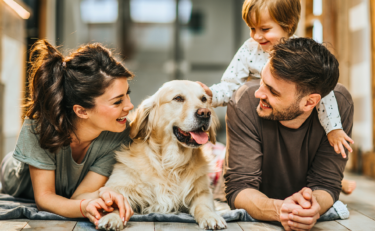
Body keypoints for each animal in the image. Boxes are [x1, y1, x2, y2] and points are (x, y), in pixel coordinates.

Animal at [97, 81, 226, 229]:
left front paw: (211, 216)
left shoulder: (202, 192)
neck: (171, 162)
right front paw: (111, 217)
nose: (205, 113)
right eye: (178, 98)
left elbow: (204, 206)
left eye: (204, 99)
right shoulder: (119, 185)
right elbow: (116, 202)